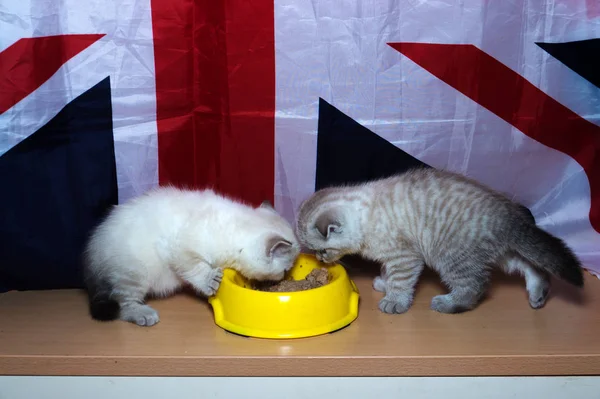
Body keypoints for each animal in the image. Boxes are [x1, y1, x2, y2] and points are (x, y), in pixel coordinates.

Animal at [83, 186, 298, 326]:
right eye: (284, 270)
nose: (281, 279)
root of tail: (92, 249)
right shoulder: (180, 248)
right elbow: (197, 268)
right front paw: (211, 280)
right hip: (135, 272)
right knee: (123, 303)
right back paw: (144, 314)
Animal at [296, 168, 580, 316]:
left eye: (322, 250)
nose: (320, 259)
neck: (365, 216)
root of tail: (509, 214)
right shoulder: (392, 258)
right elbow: (389, 274)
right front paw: (385, 284)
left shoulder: (405, 257)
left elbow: (401, 281)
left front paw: (394, 300)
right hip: (503, 254)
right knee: (532, 266)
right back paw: (538, 293)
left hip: (451, 257)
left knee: (475, 286)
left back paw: (449, 303)